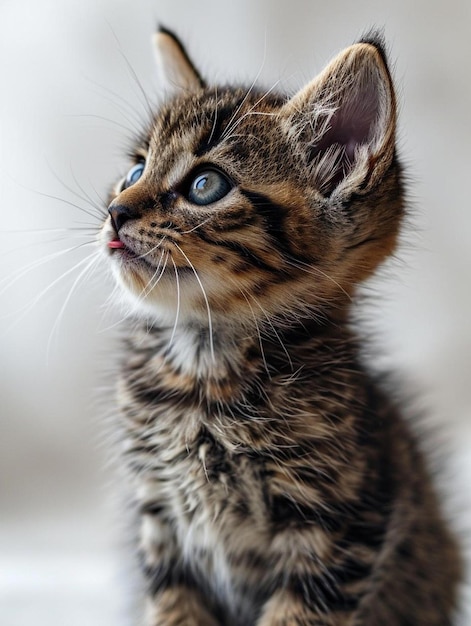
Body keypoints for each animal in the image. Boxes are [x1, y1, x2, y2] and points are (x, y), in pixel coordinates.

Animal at [100, 26, 464, 620]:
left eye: (205, 185)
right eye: (134, 171)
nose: (115, 211)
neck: (206, 371)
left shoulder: (338, 534)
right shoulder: (159, 524)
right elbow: (173, 607)